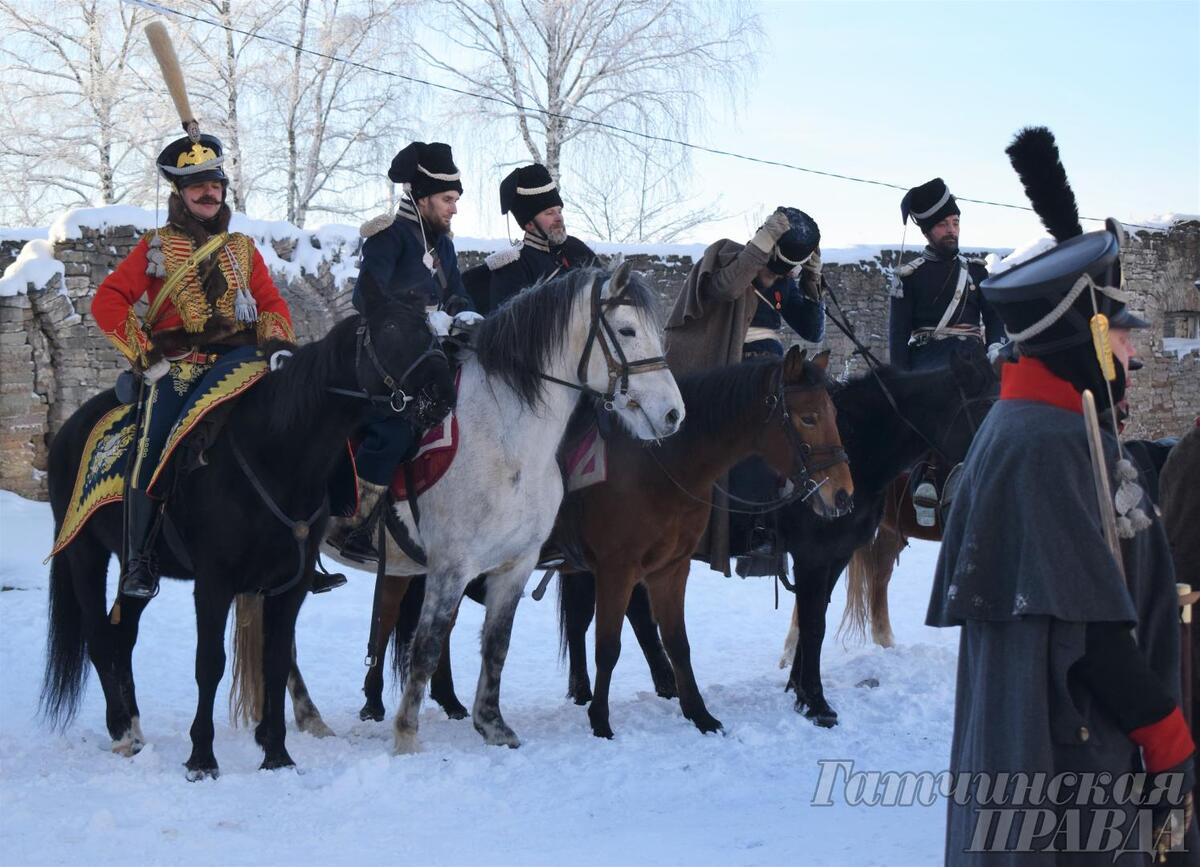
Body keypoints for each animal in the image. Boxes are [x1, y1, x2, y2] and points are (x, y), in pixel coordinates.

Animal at [41, 277, 453, 778]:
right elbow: (209, 663)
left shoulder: (289, 584)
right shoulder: (214, 582)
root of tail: (69, 429)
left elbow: (274, 661)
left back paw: (135, 727)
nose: (442, 391)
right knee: (101, 639)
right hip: (83, 553)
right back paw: (121, 732)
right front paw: (202, 757)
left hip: (136, 567)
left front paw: (276, 753)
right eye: (391, 326)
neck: (277, 451)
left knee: (124, 636)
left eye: (430, 326)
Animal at [326, 258, 686, 749]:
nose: (673, 414)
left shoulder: (516, 565)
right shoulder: (451, 566)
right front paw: (407, 735)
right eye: (628, 330)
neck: (505, 438)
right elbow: (427, 645)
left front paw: (492, 724)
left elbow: (497, 643)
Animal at [552, 343, 993, 720]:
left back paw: (657, 684)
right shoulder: (814, 557)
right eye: (986, 405)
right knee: (595, 613)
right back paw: (590, 689)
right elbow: (813, 624)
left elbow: (815, 619)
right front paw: (815, 701)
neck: (861, 446)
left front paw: (798, 688)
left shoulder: (835, 557)